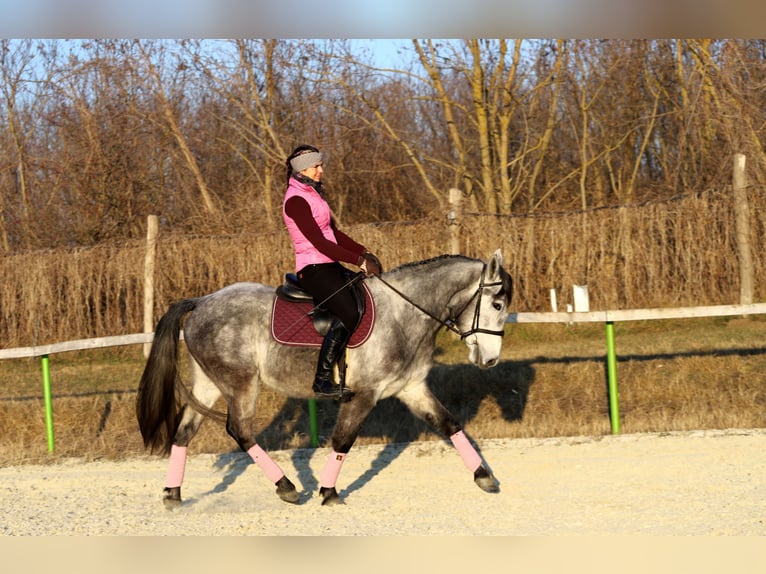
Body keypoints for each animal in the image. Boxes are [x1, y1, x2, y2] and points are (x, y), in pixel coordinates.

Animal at [136, 251, 516, 508]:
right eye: (497, 304)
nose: (491, 360)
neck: (405, 313)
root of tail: (201, 302)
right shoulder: (363, 395)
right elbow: (343, 441)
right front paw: (329, 492)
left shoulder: (411, 388)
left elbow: (450, 425)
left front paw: (484, 477)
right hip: (240, 383)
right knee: (240, 431)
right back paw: (287, 487)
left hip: (209, 384)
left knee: (184, 432)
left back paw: (173, 494)